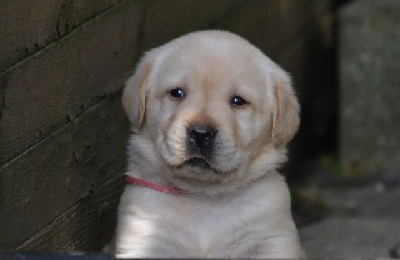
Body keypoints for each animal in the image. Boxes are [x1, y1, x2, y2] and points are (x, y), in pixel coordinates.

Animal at [115, 30, 304, 258]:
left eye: (238, 101)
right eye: (177, 93)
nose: (201, 134)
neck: (203, 196)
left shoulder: (269, 239)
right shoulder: (146, 238)